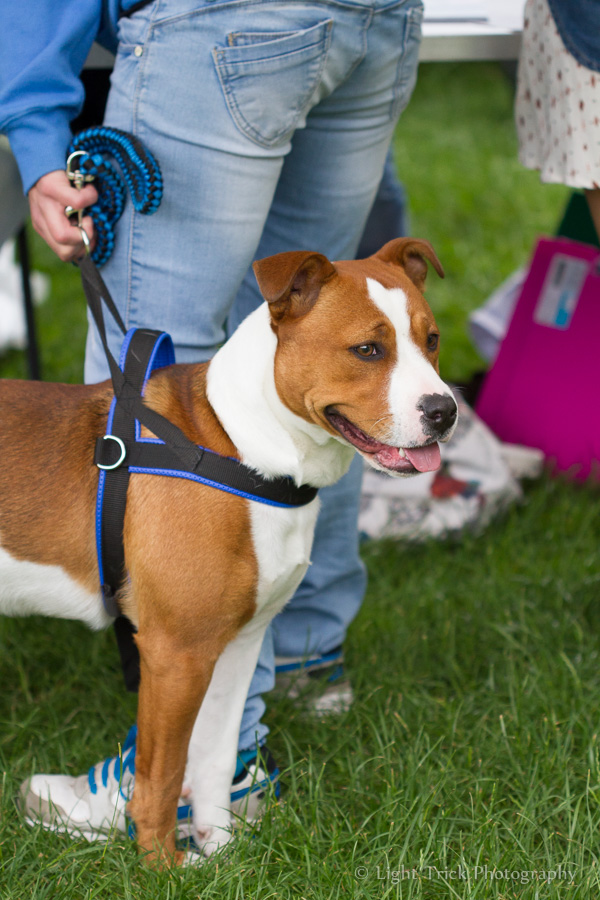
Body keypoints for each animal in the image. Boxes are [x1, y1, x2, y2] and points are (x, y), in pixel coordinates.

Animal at [0, 238, 457, 864]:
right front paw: (163, 868)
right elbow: (163, 777)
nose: (445, 411)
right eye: (367, 349)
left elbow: (214, 759)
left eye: (431, 339)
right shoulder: (175, 653)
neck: (242, 447)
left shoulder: (236, 645)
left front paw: (219, 855)